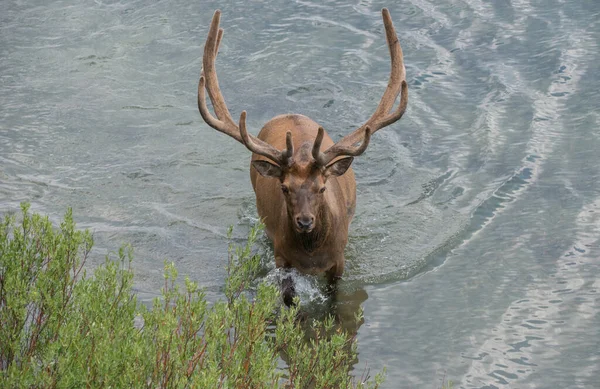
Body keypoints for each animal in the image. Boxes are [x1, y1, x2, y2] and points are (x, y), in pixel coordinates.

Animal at [197, 6, 408, 284]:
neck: (312, 256)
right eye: (285, 187)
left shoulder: (339, 260)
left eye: (322, 188)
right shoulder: (281, 257)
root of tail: (290, 113)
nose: (305, 221)